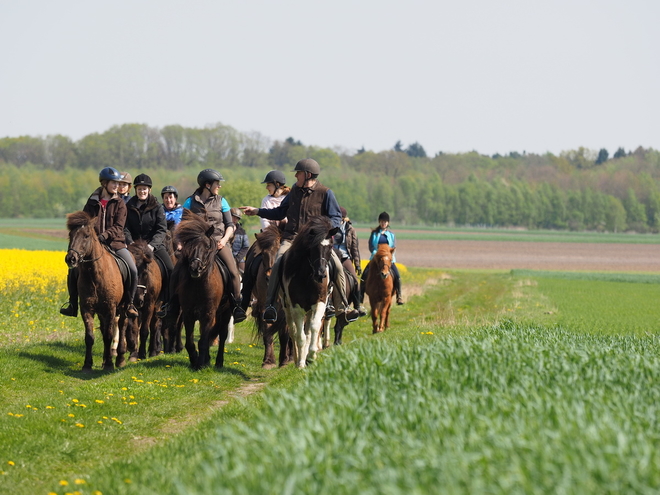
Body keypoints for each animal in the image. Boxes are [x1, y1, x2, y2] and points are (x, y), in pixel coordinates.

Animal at [63, 212, 132, 372]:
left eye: (86, 236)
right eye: (70, 234)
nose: (71, 259)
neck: (94, 274)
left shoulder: (111, 308)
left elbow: (108, 335)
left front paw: (109, 364)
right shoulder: (87, 308)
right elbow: (90, 337)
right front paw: (87, 364)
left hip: (123, 307)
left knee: (122, 325)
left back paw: (120, 358)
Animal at [169, 211, 231, 370]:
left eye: (208, 246)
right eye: (189, 245)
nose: (195, 268)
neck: (198, 285)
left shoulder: (208, 314)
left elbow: (203, 341)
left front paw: (200, 365)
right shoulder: (188, 313)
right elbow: (190, 342)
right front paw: (195, 360)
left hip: (226, 312)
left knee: (222, 334)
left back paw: (218, 362)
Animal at [250, 225, 292, 368]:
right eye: (263, 254)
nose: (269, 277)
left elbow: (285, 334)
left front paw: (284, 360)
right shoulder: (265, 307)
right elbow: (267, 332)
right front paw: (268, 361)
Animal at [280, 217, 340, 368]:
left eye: (330, 247)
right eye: (313, 247)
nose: (321, 274)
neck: (307, 277)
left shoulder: (320, 303)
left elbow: (314, 327)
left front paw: (311, 356)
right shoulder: (296, 307)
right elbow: (299, 335)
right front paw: (301, 363)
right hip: (287, 308)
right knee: (293, 331)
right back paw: (297, 358)